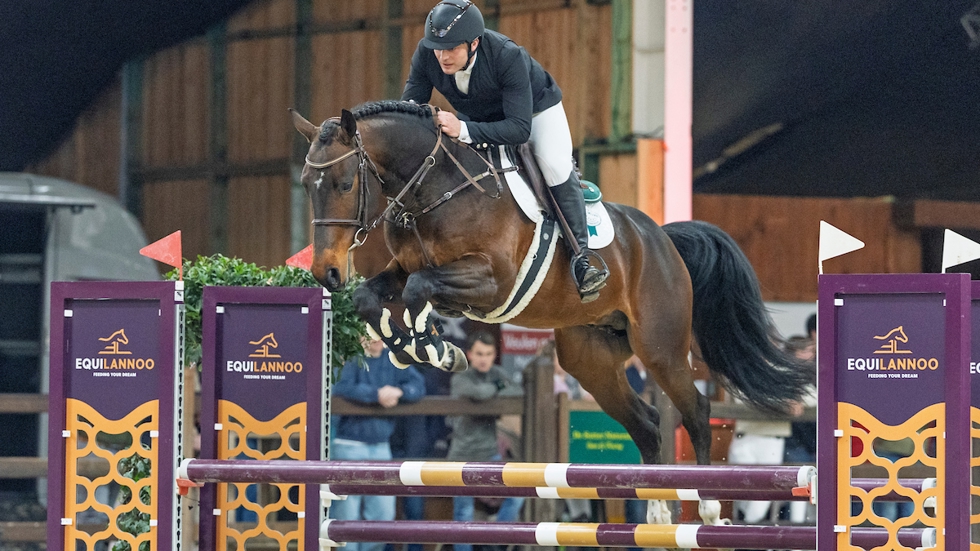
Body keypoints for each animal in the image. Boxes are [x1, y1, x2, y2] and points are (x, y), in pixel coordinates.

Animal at [290, 102, 812, 500]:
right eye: (306, 187)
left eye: (343, 184)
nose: (325, 273)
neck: (434, 191)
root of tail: (663, 240)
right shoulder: (402, 269)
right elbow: (372, 295)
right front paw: (410, 348)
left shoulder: (490, 281)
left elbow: (421, 288)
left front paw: (435, 346)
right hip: (590, 358)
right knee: (647, 424)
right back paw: (655, 510)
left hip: (660, 349)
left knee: (698, 416)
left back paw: (701, 505)